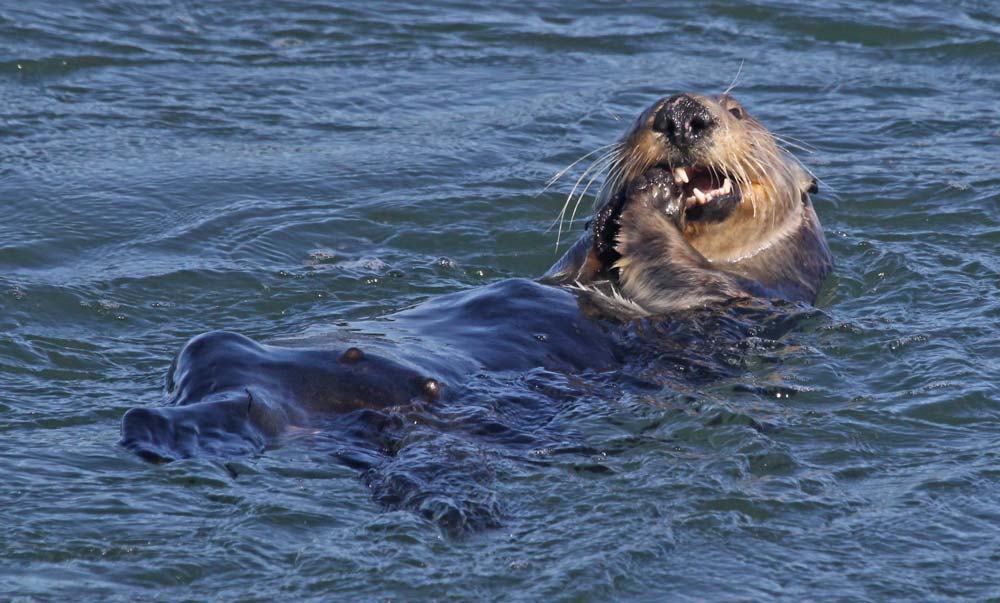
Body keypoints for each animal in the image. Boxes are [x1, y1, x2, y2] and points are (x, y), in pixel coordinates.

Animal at [120, 92, 832, 529]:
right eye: (645, 111)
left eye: (737, 108)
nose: (683, 113)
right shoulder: (576, 271)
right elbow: (574, 265)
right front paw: (619, 199)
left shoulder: (738, 300)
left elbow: (673, 269)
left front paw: (650, 201)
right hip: (216, 351)